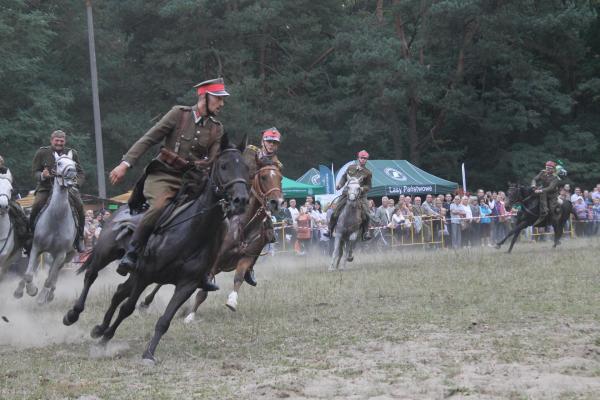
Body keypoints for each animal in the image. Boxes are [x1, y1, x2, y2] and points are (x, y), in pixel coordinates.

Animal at [14, 153, 78, 304]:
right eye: (59, 163)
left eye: (74, 163)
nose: (72, 172)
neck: (56, 219)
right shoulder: (37, 247)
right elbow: (29, 274)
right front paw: (31, 290)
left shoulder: (61, 254)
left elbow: (50, 278)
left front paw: (42, 297)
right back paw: (20, 290)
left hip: (66, 255)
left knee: (54, 274)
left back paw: (50, 294)